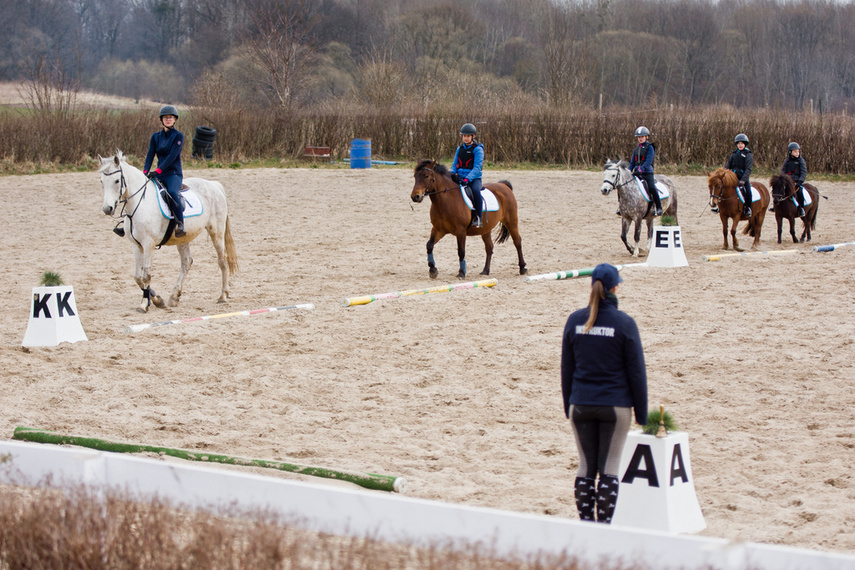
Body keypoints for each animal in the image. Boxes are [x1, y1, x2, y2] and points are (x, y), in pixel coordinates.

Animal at [99, 151, 237, 310]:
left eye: (116, 181)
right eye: (102, 181)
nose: (107, 209)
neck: (139, 203)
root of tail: (214, 185)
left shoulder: (148, 244)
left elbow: (146, 275)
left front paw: (145, 303)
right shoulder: (136, 245)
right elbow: (138, 277)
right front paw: (155, 298)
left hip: (216, 231)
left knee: (222, 260)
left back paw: (223, 295)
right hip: (183, 237)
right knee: (186, 262)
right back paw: (174, 296)